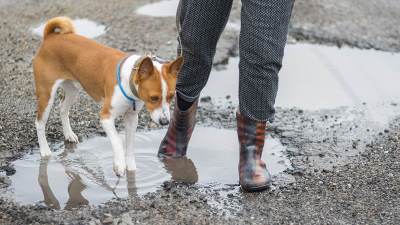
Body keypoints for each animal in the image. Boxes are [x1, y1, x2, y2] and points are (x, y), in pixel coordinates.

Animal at [32, 17, 183, 176]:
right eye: (153, 98)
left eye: (171, 97)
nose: (165, 122)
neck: (129, 79)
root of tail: (50, 38)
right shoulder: (106, 117)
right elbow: (117, 141)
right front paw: (119, 165)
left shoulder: (131, 118)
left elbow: (130, 146)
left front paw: (131, 170)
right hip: (46, 94)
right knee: (39, 123)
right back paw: (45, 151)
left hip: (73, 89)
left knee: (62, 108)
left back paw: (68, 134)